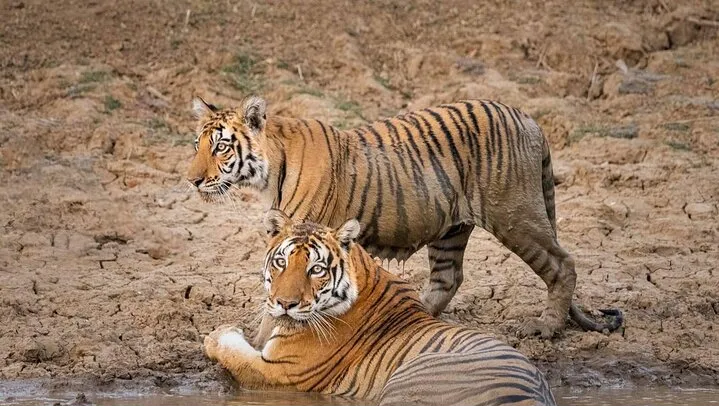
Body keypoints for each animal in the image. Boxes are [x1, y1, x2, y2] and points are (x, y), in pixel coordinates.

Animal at [187, 95, 623, 340]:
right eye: (197, 145)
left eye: (222, 146)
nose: (192, 180)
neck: (268, 170)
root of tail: (528, 118)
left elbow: (276, 304)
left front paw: (257, 343)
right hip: (451, 229)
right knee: (448, 277)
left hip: (515, 214)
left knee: (562, 264)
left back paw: (545, 328)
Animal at [203, 210, 557, 406]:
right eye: (281, 262)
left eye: (316, 269)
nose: (284, 304)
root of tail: (536, 391)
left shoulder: (279, 371)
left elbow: (230, 349)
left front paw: (220, 332)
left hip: (406, 383)